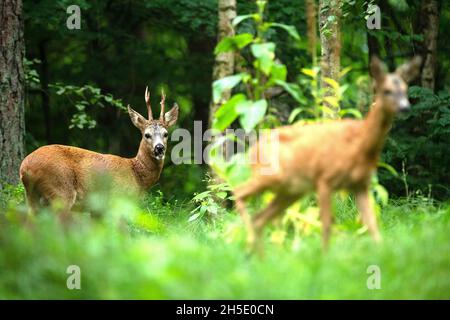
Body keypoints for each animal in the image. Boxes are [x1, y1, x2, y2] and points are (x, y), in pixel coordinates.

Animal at [20, 86, 179, 214]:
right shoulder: (118, 199)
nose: (159, 148)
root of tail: (25, 168)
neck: (136, 174)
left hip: (33, 198)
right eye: (147, 135)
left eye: (166, 134)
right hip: (60, 191)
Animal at [236, 56, 422, 251]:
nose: (405, 108)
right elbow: (326, 226)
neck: (359, 145)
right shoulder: (324, 179)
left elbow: (373, 227)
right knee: (239, 193)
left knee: (259, 218)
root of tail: (253, 149)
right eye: (386, 91)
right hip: (270, 177)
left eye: (405, 89)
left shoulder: (361, 185)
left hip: (291, 189)